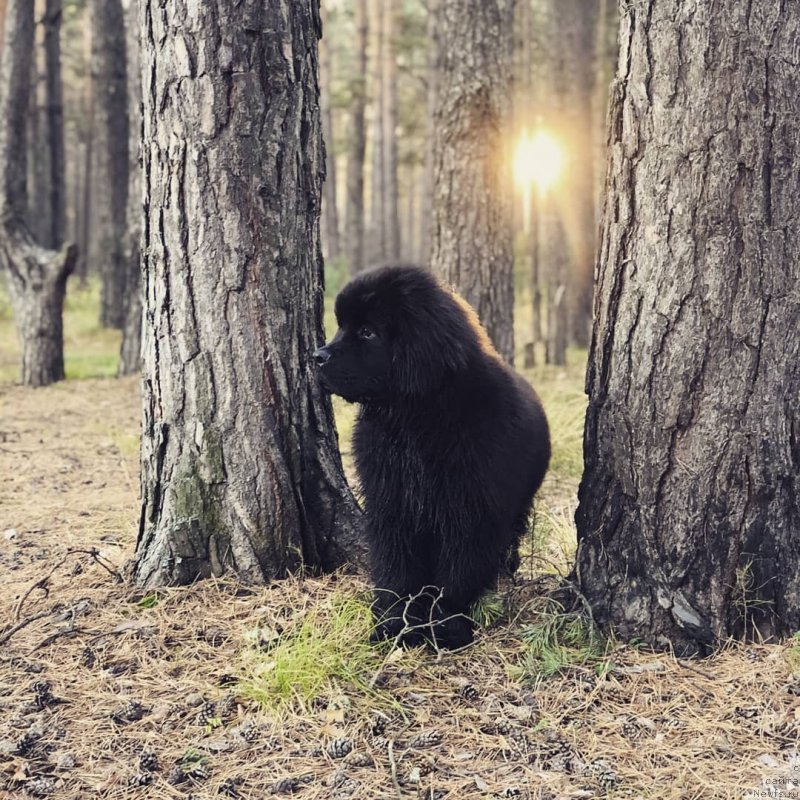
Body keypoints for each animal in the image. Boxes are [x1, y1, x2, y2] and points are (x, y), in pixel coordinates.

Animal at [312, 266, 552, 648]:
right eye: (342, 327)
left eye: (367, 332)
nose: (317, 356)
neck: (415, 420)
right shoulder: (392, 504)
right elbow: (396, 568)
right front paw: (395, 624)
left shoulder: (470, 511)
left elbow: (458, 572)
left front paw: (447, 627)